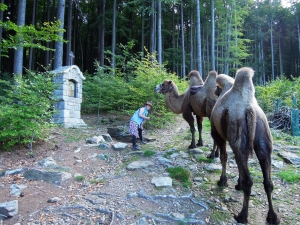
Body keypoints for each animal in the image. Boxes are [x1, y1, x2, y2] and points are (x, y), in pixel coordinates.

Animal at [210, 67, 280, 225]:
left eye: (217, 88)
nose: (215, 91)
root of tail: (250, 110)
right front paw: (237, 184)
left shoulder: (218, 134)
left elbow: (224, 157)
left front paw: (223, 181)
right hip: (264, 141)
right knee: (268, 182)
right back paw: (273, 217)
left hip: (238, 138)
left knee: (249, 180)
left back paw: (242, 216)